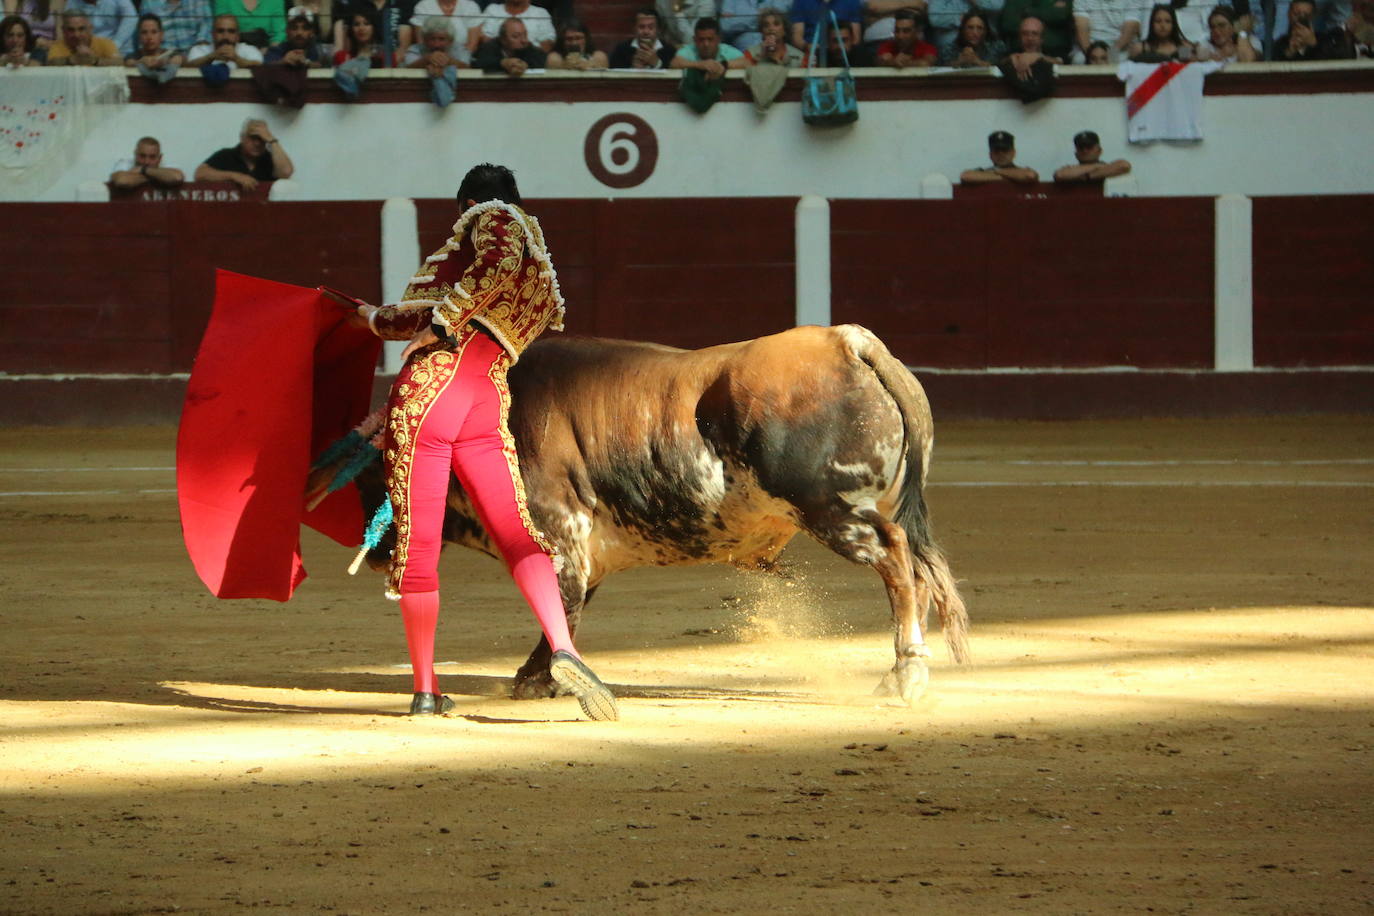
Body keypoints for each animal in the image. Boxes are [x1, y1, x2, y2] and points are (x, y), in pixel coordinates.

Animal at [346, 325, 967, 708]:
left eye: (375, 473)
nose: (373, 551)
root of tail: (846, 341)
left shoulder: (558, 533)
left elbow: (558, 606)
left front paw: (542, 680)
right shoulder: (584, 552)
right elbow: (567, 609)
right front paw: (541, 677)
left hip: (832, 509)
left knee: (895, 557)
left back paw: (909, 672)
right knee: (913, 566)